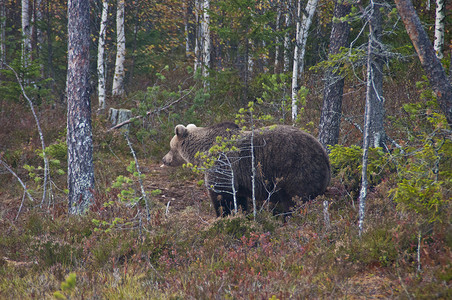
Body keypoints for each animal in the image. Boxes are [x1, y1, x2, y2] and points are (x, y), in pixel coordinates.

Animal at [161, 122, 330, 218]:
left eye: (170, 146)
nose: (164, 159)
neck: (202, 151)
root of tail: (325, 157)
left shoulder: (222, 166)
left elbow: (222, 196)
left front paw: (223, 216)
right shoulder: (239, 180)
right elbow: (239, 199)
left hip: (296, 170)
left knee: (294, 201)